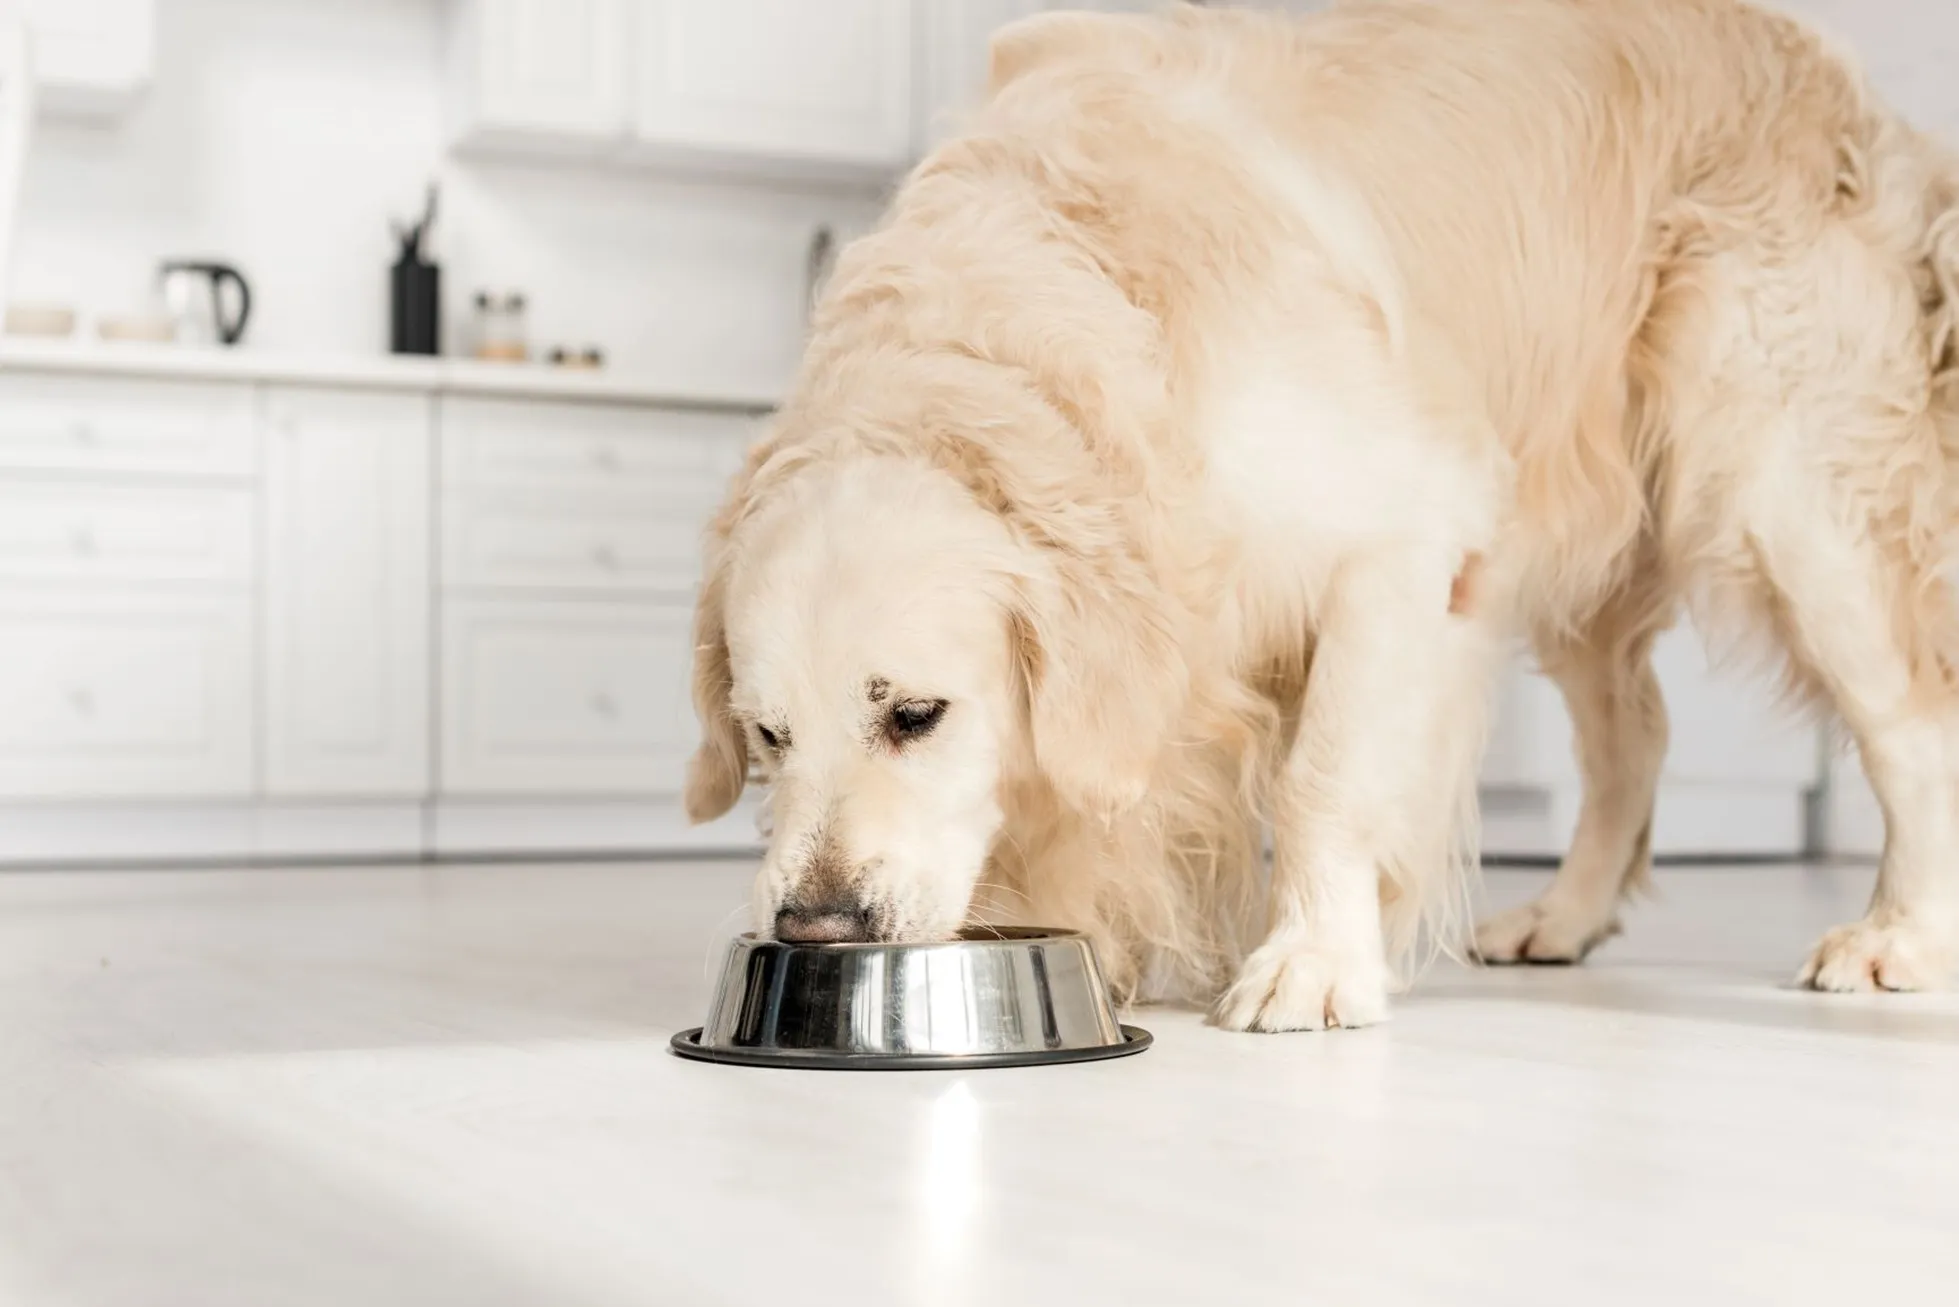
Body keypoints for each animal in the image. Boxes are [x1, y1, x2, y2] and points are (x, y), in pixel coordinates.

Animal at [685, 0, 1959, 1034]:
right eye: (767, 735)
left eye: (916, 714)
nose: (813, 925)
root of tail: (1836, 71)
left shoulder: (1402, 537)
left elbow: (1326, 778)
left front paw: (1313, 961)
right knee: (1633, 736)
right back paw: (1565, 914)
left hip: (1783, 488)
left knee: (1906, 721)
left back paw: (1898, 934)